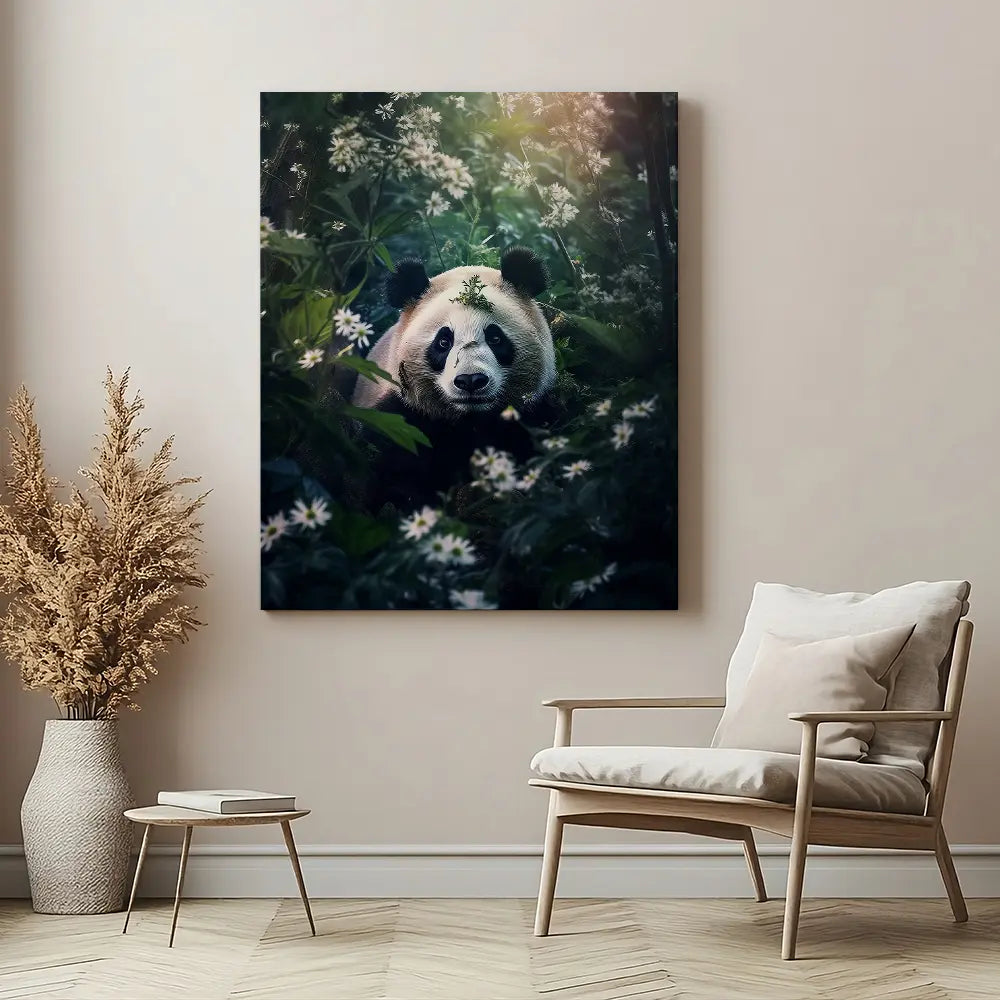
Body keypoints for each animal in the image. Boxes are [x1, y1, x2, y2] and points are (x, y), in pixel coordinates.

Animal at [352, 247, 558, 510]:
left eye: (495, 338)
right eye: (443, 342)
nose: (470, 380)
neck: (469, 420)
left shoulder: (533, 412)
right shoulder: (402, 416)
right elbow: (394, 469)